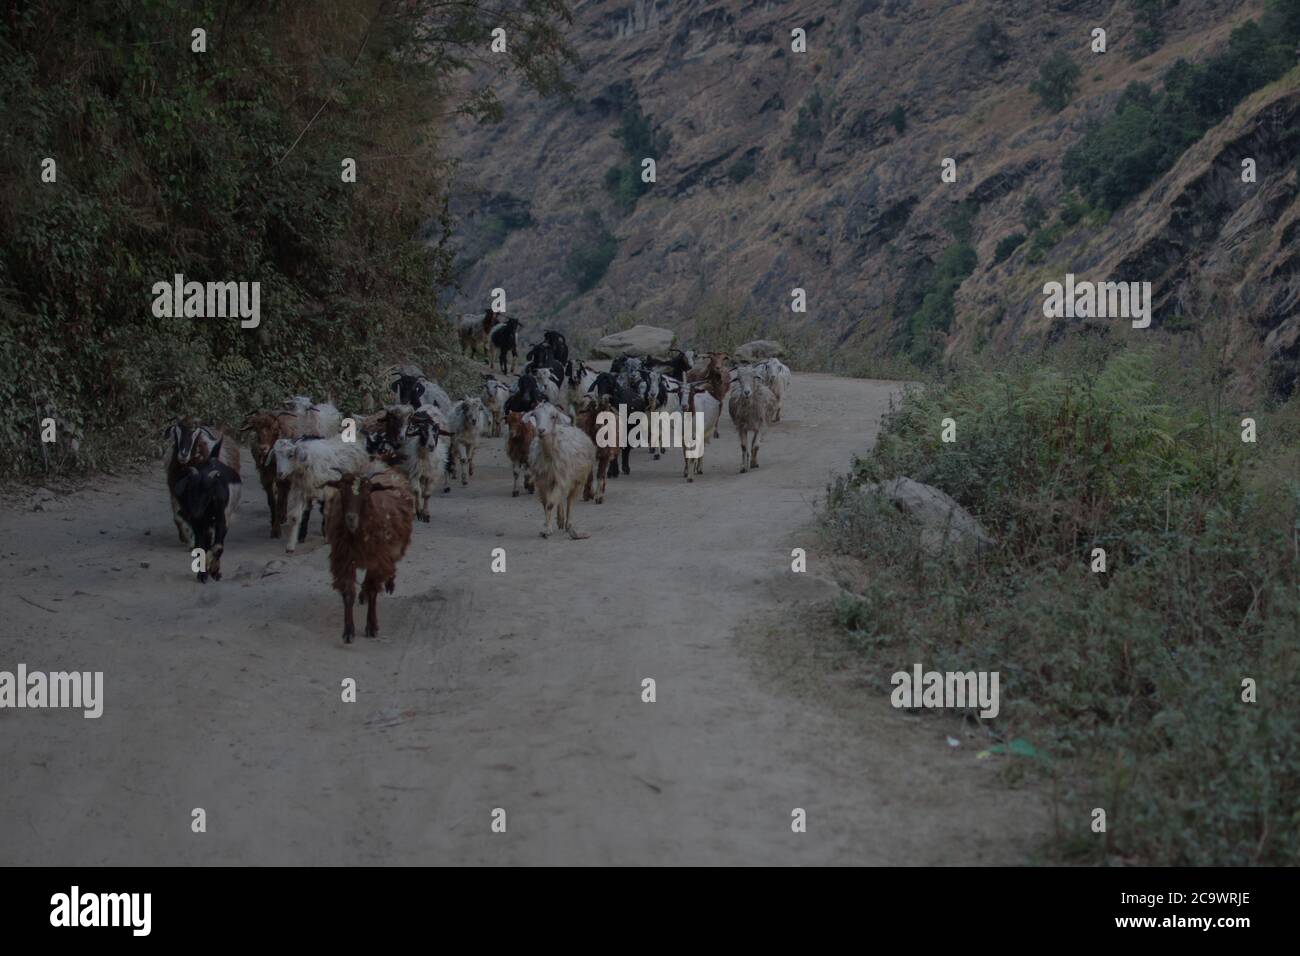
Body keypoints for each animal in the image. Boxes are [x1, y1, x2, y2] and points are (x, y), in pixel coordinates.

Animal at [322, 465, 408, 642]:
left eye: (368, 492)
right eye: (341, 490)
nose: (351, 518)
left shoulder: (378, 559)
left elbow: (373, 590)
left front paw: (372, 627)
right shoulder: (345, 559)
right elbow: (348, 593)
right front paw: (348, 631)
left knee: (390, 567)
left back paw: (389, 582)